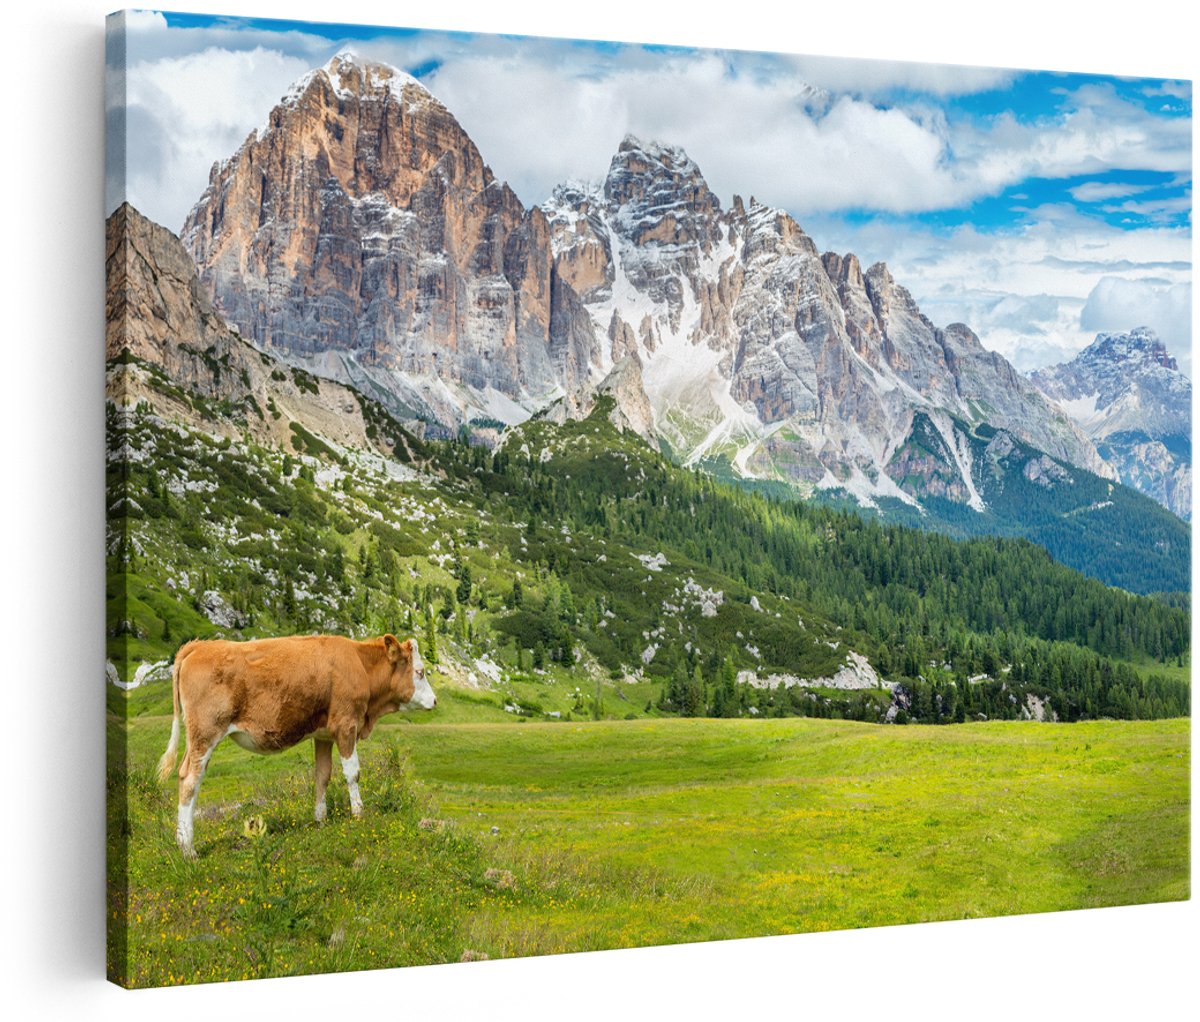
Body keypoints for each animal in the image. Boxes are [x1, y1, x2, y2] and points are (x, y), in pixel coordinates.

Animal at [155, 633, 436, 858]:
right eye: (420, 671)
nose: (435, 700)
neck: (360, 664)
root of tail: (198, 646)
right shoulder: (346, 725)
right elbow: (352, 773)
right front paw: (358, 814)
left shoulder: (324, 735)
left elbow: (322, 775)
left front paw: (320, 819)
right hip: (205, 732)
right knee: (190, 779)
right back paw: (188, 848)